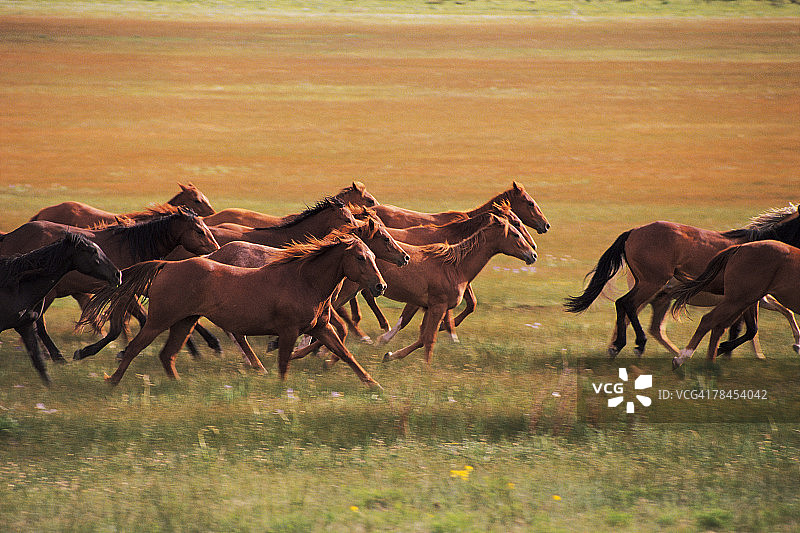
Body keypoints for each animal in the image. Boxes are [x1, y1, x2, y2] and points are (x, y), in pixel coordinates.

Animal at [0, 208, 219, 361]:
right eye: (199, 231)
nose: (216, 249)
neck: (131, 248)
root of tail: (9, 236)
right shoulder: (123, 292)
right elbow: (118, 328)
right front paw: (86, 352)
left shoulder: (133, 290)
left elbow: (147, 318)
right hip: (47, 294)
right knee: (40, 324)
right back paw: (56, 356)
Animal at [79, 234, 386, 387]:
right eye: (361, 257)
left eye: (373, 256)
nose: (380, 285)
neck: (303, 281)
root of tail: (167, 265)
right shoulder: (288, 330)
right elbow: (284, 362)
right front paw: (280, 388)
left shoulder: (321, 327)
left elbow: (345, 353)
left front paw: (374, 385)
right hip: (159, 321)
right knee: (134, 348)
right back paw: (112, 381)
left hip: (185, 322)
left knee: (168, 355)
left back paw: (178, 385)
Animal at [670, 240, 800, 368]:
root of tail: (740, 246)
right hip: (737, 300)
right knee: (709, 321)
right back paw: (683, 358)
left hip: (744, 301)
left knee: (725, 327)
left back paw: (710, 362)